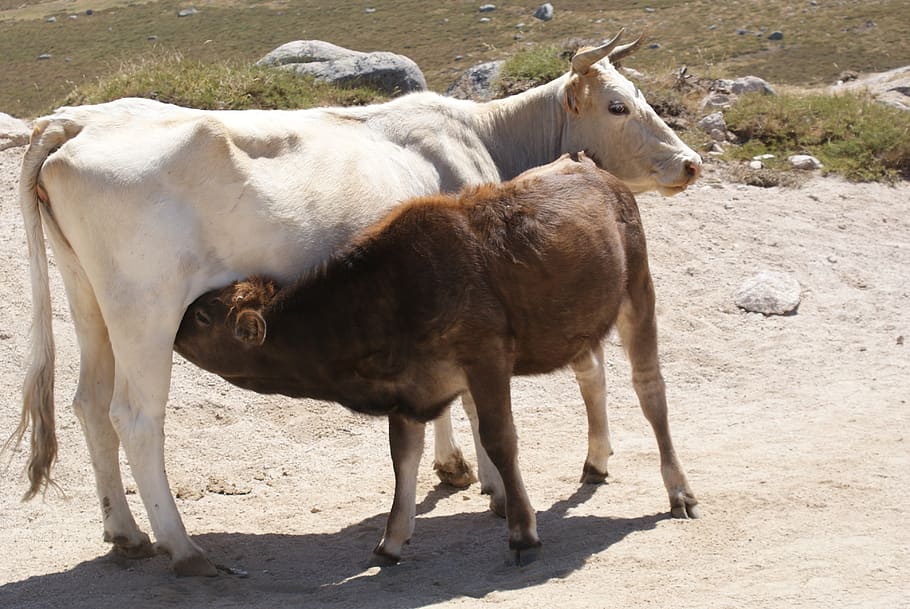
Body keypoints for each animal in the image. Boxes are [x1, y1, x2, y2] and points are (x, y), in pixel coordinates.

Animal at [174, 153, 700, 563]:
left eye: (201, 315)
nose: (173, 327)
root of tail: (590, 165)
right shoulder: (408, 387)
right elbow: (402, 458)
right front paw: (391, 540)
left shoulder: (486, 358)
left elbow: (500, 440)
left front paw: (521, 530)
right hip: (575, 323)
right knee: (592, 377)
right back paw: (595, 462)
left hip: (638, 291)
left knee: (650, 390)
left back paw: (679, 490)